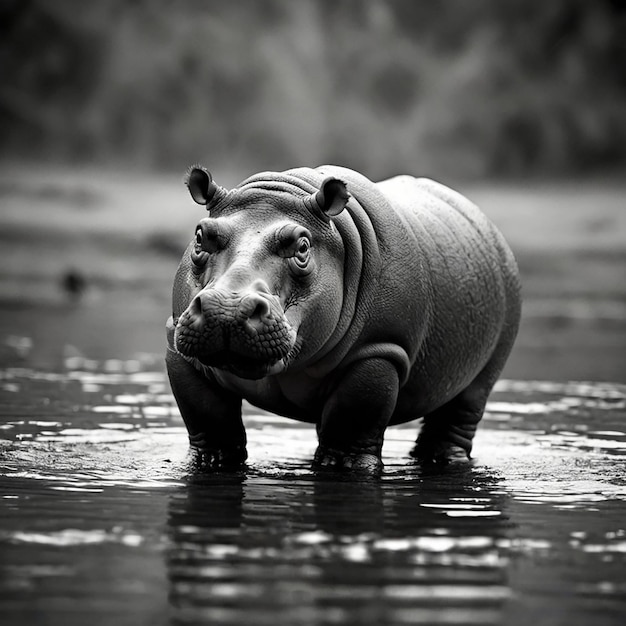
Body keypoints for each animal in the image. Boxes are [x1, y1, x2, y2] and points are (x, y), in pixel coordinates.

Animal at [163, 163, 520, 470]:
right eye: (200, 236)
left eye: (303, 247)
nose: (227, 308)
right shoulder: (180, 345)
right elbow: (208, 414)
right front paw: (210, 462)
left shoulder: (378, 349)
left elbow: (353, 416)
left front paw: (342, 466)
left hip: (489, 360)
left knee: (461, 410)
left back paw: (444, 459)